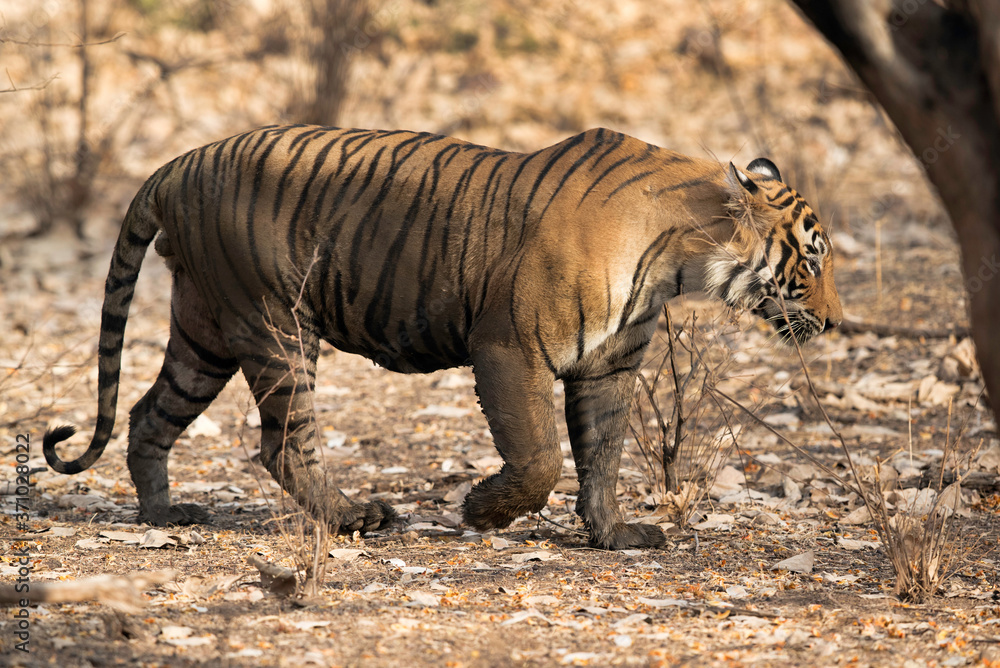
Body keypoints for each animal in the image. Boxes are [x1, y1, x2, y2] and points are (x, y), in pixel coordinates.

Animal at [43, 125, 842, 550]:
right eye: (811, 261)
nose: (837, 321)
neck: (677, 261)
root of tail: (177, 163)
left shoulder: (608, 367)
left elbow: (602, 457)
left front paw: (614, 533)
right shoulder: (510, 349)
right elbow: (540, 458)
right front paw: (480, 513)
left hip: (204, 331)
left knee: (149, 415)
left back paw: (161, 515)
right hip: (275, 326)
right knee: (282, 444)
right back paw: (356, 516)